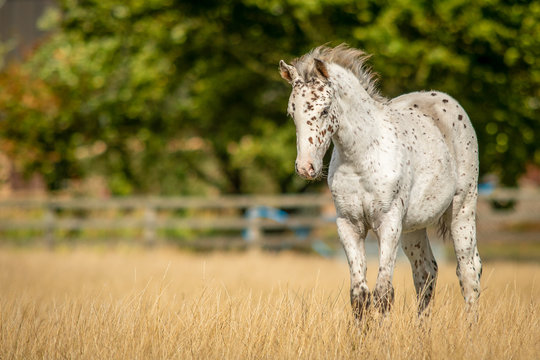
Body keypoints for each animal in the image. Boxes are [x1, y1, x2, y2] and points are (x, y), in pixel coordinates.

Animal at [278, 44, 480, 318]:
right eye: (292, 113)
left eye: (324, 110)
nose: (305, 168)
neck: (361, 157)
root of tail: (445, 100)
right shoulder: (349, 225)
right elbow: (360, 296)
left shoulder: (389, 223)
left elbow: (383, 293)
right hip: (413, 227)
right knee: (426, 272)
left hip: (462, 210)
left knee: (469, 271)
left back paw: (471, 326)